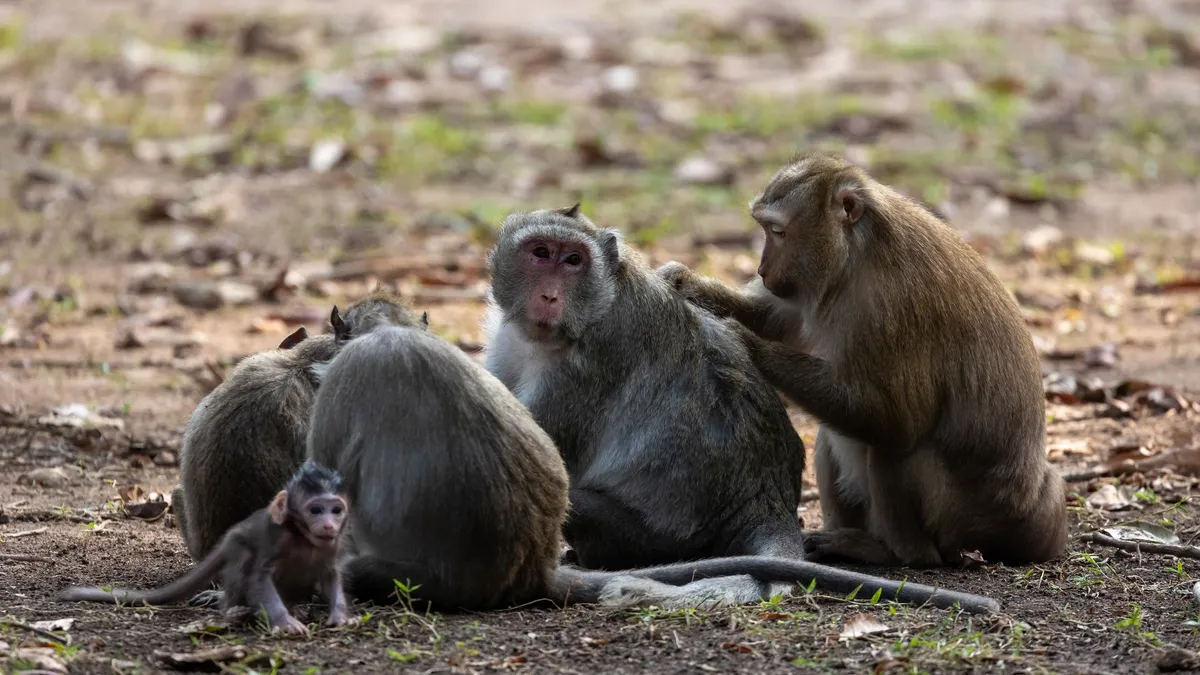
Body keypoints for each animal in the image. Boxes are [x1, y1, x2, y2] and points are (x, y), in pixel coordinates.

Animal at [62, 460, 352, 635]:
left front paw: (340, 616)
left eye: (336, 510)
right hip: (236, 549)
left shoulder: (333, 546)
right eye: (315, 510)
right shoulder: (275, 539)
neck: (303, 538)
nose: (328, 525)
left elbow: (331, 576)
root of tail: (227, 539)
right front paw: (284, 623)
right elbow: (259, 576)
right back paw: (235, 609)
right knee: (244, 562)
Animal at [657, 151, 1068, 568]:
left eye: (777, 231)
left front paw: (746, 344)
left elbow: (899, 419)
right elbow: (778, 319)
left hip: (962, 513)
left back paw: (896, 553)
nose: (762, 269)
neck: (856, 255)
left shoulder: (893, 305)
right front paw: (682, 282)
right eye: (766, 229)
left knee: (895, 447)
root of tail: (1027, 505)